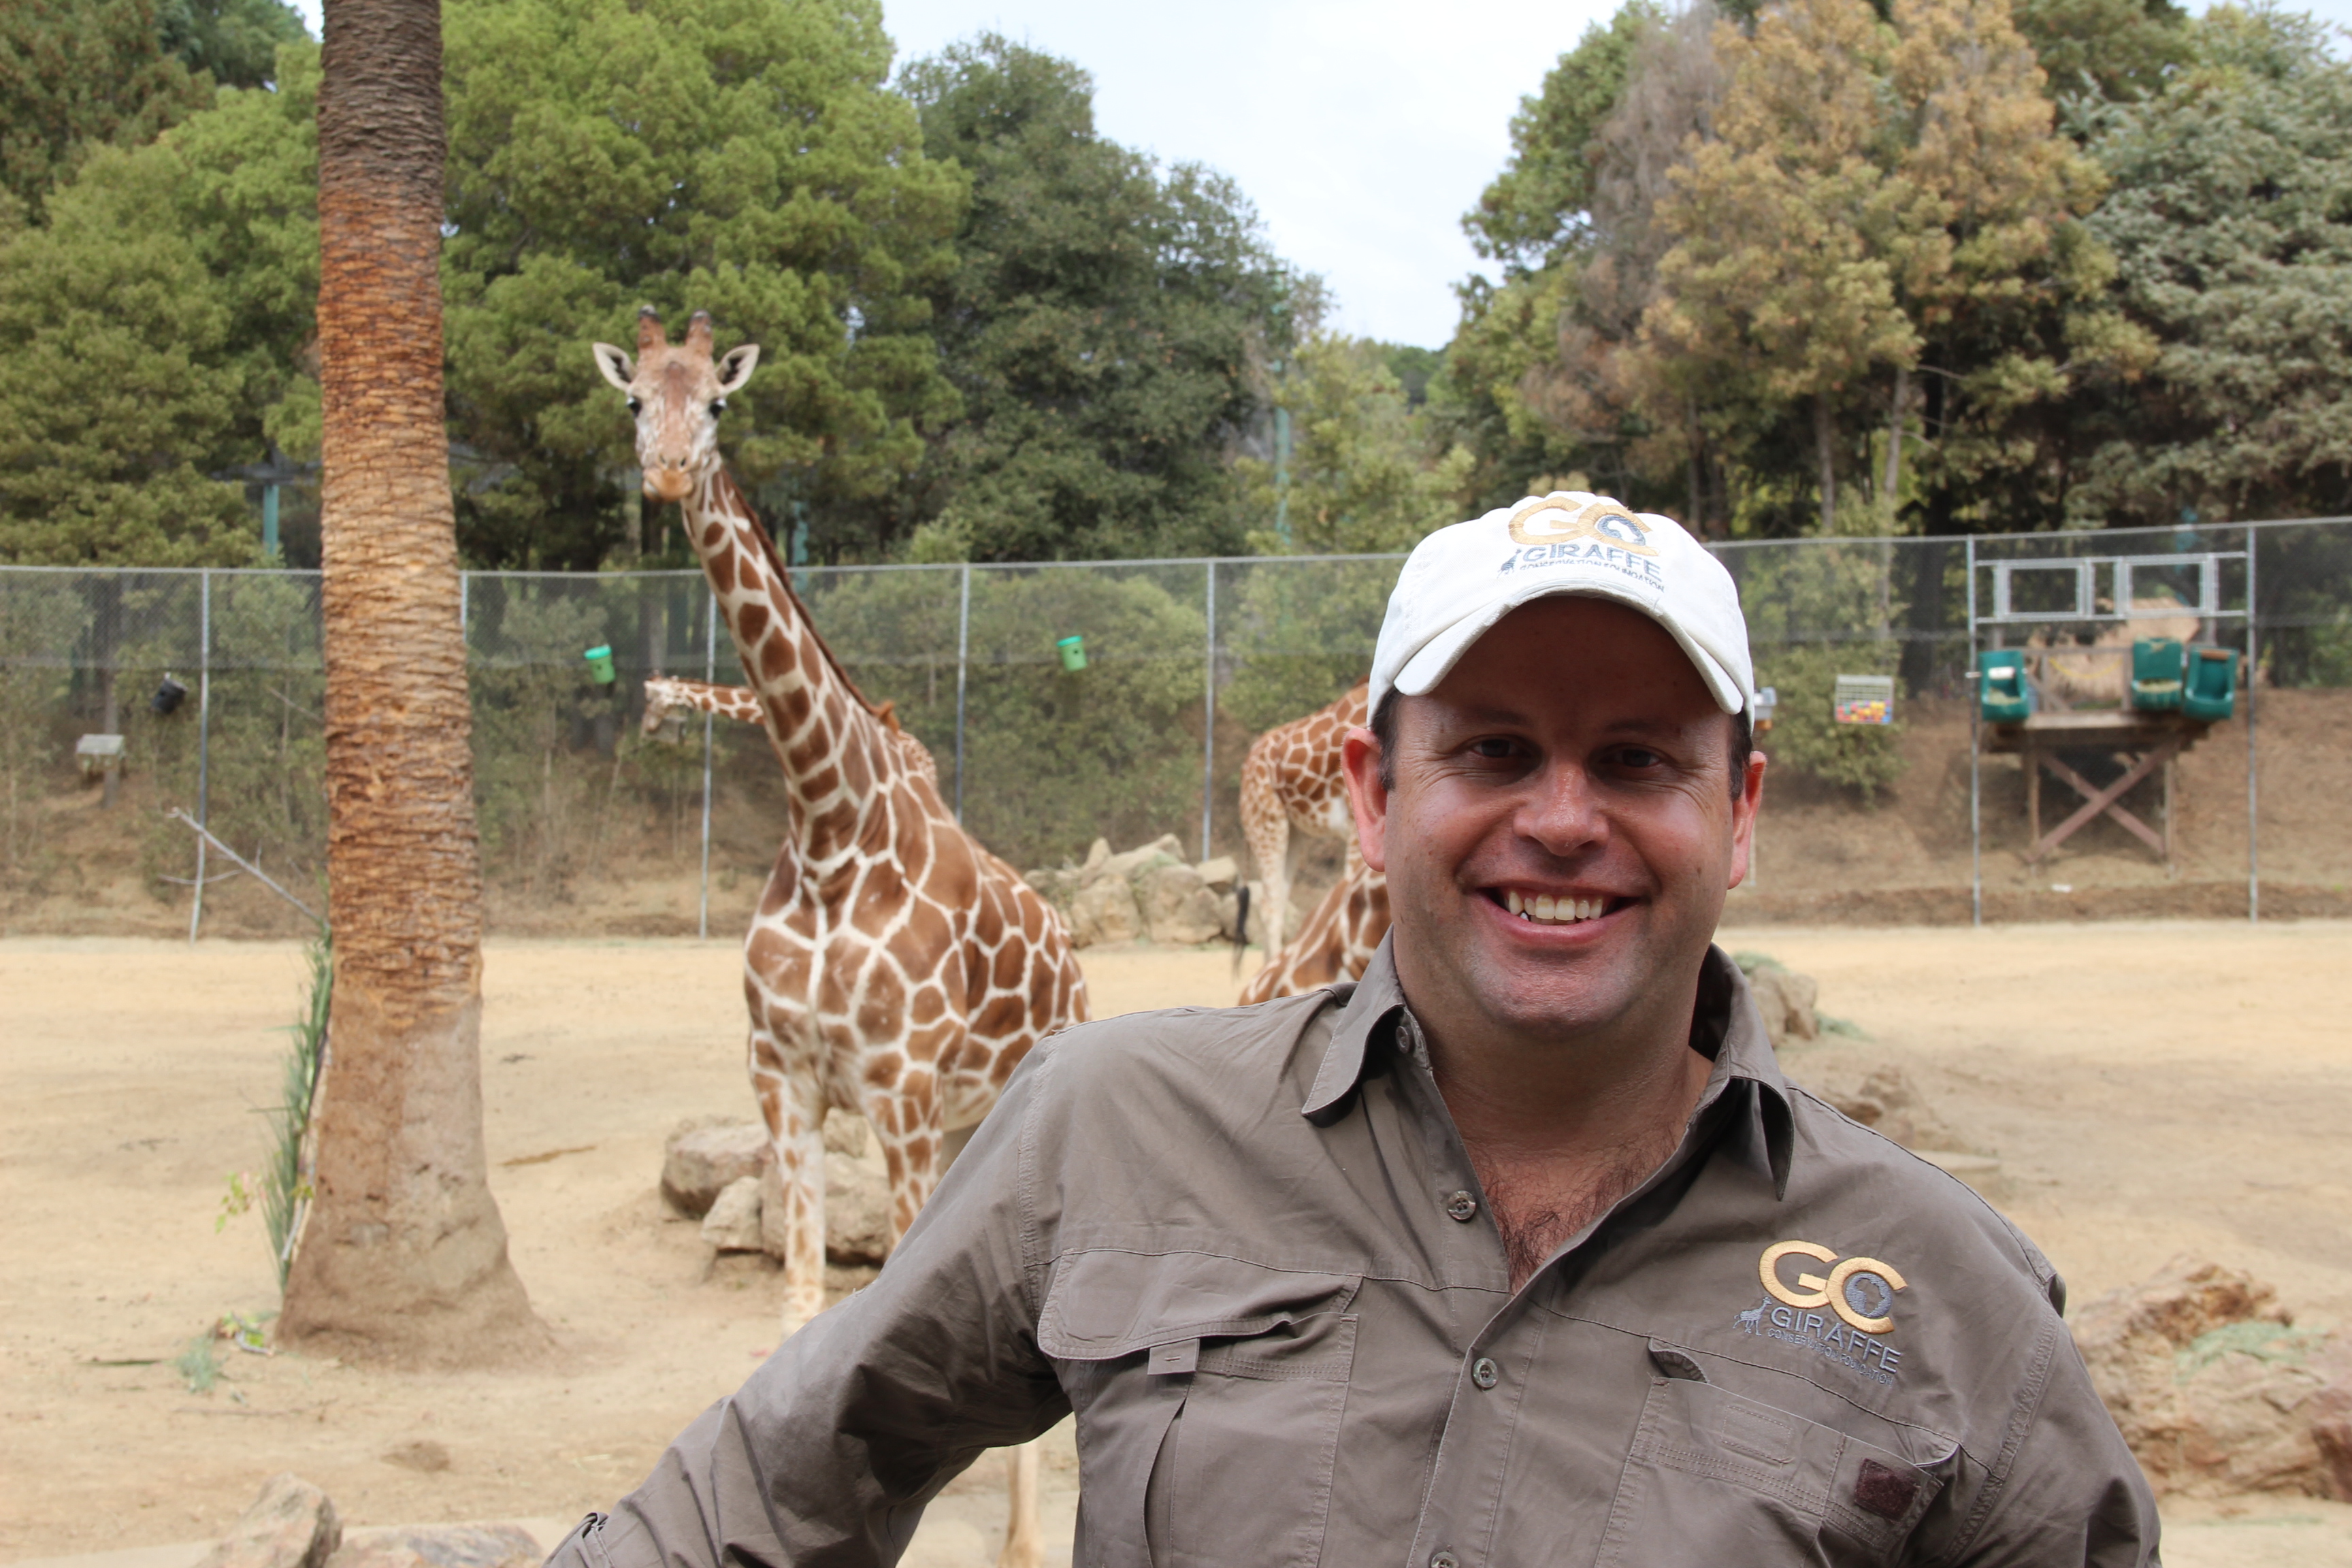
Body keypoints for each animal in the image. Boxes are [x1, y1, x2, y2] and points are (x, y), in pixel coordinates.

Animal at [592, 312, 1077, 1568]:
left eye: (716, 401)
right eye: (635, 401)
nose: (670, 472)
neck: (826, 822)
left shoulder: (895, 1086)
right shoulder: (783, 1075)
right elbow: (802, 1302)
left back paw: (1026, 1538)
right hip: (960, 1126)